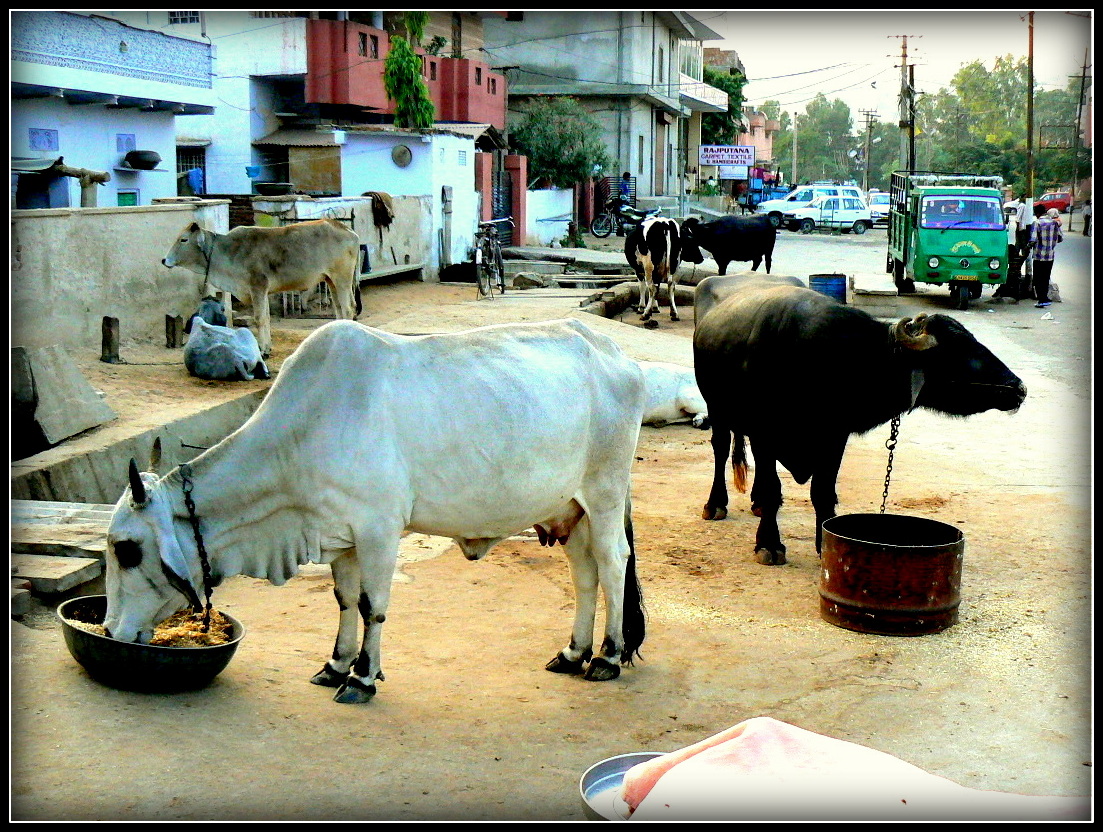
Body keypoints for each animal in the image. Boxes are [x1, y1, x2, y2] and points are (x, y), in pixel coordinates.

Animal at [101, 317, 644, 701]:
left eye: (127, 550)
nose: (110, 631)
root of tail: (615, 353)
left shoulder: (380, 529)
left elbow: (372, 605)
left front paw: (362, 678)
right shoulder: (339, 536)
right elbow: (344, 600)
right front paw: (336, 665)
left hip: (604, 493)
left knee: (613, 563)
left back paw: (607, 657)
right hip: (569, 509)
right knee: (585, 575)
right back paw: (573, 653)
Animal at [163, 218, 361, 355]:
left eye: (183, 239)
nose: (164, 260)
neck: (227, 251)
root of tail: (348, 230)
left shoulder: (257, 286)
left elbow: (259, 318)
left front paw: (263, 350)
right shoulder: (263, 291)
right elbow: (265, 317)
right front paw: (267, 347)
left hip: (342, 279)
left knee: (348, 308)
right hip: (331, 280)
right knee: (339, 309)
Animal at [692, 276, 1027, 564]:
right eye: (958, 352)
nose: (1018, 387)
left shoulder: (834, 435)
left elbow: (823, 491)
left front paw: (823, 545)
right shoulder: (766, 433)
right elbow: (775, 488)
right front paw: (769, 544)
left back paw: (757, 502)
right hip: (716, 407)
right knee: (721, 448)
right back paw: (715, 504)